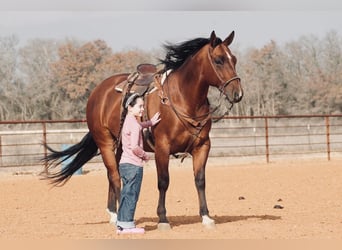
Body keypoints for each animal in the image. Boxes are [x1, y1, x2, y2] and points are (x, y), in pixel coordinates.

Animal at [42, 30, 243, 229]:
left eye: (234, 59)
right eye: (218, 60)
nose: (238, 93)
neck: (182, 98)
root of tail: (97, 92)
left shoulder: (202, 146)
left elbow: (200, 180)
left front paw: (206, 217)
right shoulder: (162, 148)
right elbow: (163, 181)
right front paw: (163, 218)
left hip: (121, 146)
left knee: (114, 175)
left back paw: (113, 212)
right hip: (105, 142)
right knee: (114, 176)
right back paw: (119, 217)